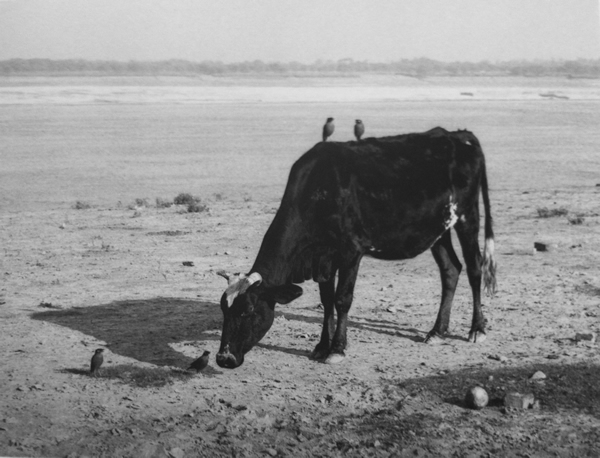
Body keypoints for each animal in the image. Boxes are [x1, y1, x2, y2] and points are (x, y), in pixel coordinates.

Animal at [216, 128, 496, 368]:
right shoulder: (323, 259)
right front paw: (322, 346)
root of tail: (460, 135)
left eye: (249, 310)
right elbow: (326, 301)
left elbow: (342, 299)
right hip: (438, 231)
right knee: (451, 270)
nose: (224, 358)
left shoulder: (351, 252)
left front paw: (337, 349)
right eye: (224, 310)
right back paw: (437, 331)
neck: (318, 189)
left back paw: (477, 329)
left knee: (474, 268)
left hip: (468, 216)